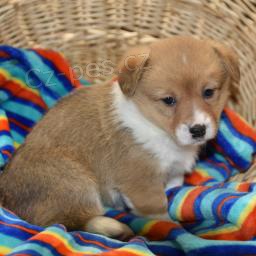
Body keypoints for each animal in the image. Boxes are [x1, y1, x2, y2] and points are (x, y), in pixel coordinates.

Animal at [0, 37, 239, 239]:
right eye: (169, 100)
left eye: (209, 92)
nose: (198, 130)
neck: (158, 129)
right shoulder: (142, 184)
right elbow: (160, 212)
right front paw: (170, 229)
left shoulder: (174, 172)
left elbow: (173, 186)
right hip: (75, 182)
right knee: (66, 223)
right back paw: (114, 228)